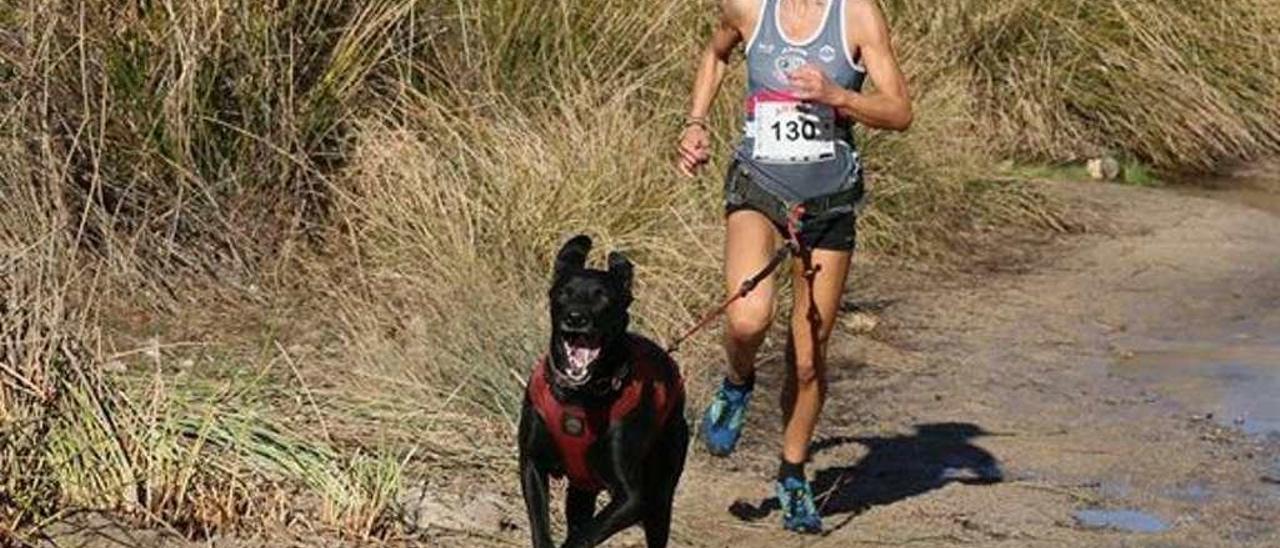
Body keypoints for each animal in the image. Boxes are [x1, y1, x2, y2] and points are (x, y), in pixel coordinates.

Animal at [517, 235, 686, 548]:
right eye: (563, 293)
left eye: (603, 297)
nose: (575, 317)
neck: (579, 396)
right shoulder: (532, 464)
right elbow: (542, 526)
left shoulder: (632, 498)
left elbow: (583, 536)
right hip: (581, 490)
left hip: (660, 496)